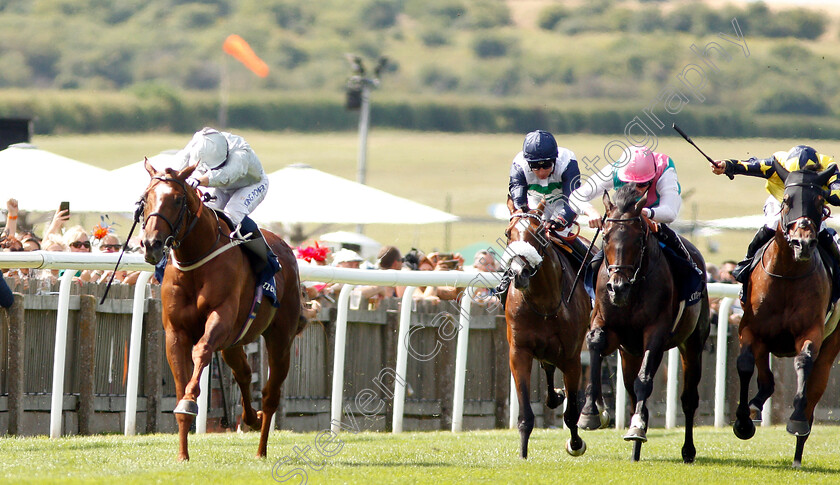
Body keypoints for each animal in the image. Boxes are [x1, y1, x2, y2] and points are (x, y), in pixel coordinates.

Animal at [139, 161, 306, 460]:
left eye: (178, 199)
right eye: (146, 197)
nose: (151, 244)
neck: (195, 258)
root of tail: (286, 248)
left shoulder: (220, 318)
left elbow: (201, 351)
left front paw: (190, 401)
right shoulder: (175, 333)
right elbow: (181, 383)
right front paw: (182, 454)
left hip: (280, 339)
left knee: (270, 393)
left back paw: (261, 449)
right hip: (234, 342)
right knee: (243, 373)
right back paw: (251, 419)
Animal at [502, 197, 592, 458]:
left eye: (540, 232)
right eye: (508, 233)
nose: (518, 273)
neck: (543, 302)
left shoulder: (572, 357)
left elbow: (571, 413)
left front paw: (576, 444)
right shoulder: (519, 352)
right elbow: (525, 415)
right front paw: (523, 454)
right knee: (548, 367)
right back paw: (555, 396)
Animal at [576, 184, 708, 462]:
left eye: (637, 239)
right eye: (606, 237)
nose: (617, 287)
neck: (633, 290)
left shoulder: (656, 333)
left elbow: (644, 380)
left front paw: (636, 427)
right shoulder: (609, 327)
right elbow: (595, 342)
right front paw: (591, 412)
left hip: (692, 342)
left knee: (688, 398)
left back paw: (687, 449)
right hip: (630, 352)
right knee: (629, 388)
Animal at [732, 161, 840, 466]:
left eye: (820, 201)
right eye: (787, 200)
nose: (802, 243)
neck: (787, 276)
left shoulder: (811, 331)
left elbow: (804, 362)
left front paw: (795, 419)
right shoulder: (751, 329)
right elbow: (745, 364)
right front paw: (742, 421)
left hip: (831, 346)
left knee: (814, 388)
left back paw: (798, 451)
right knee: (767, 383)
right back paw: (754, 408)